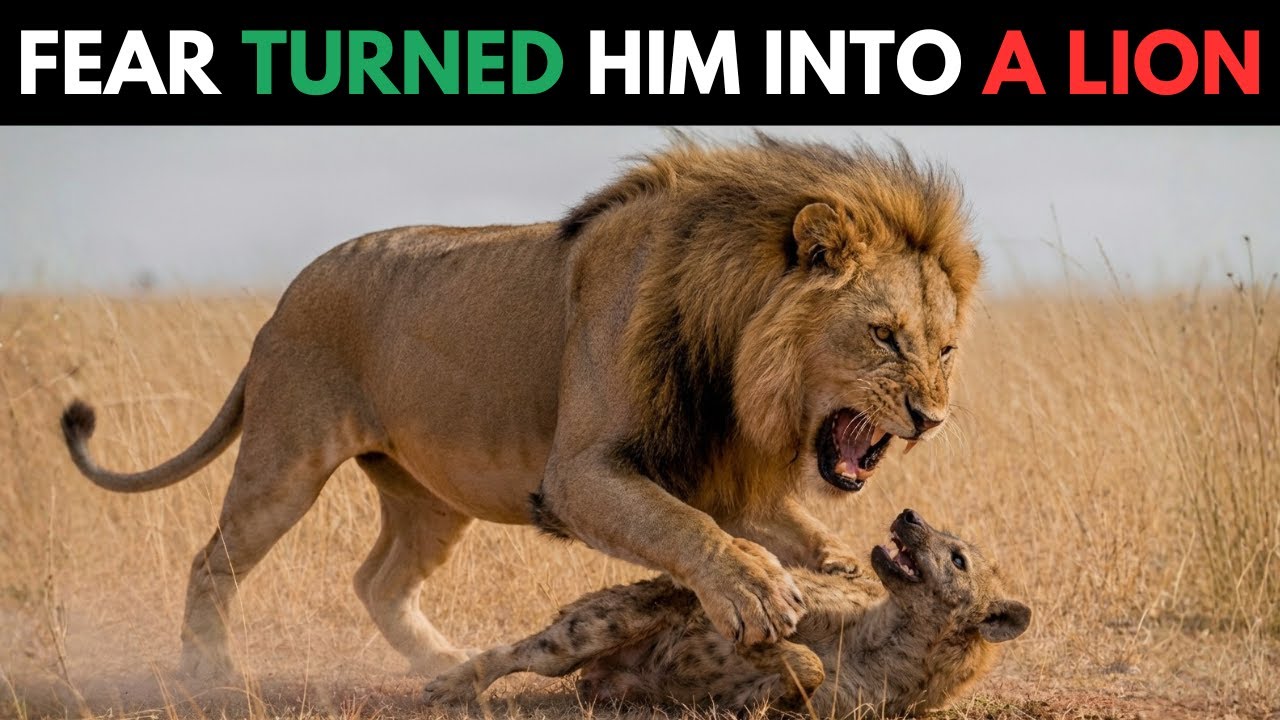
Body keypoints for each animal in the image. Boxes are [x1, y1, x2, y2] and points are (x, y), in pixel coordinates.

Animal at [59, 134, 981, 681]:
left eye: (945, 349)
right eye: (884, 336)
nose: (932, 419)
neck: (734, 357)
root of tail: (277, 308)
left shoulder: (711, 472)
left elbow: (788, 531)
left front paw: (841, 575)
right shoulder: (579, 474)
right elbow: (686, 530)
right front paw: (756, 596)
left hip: (429, 496)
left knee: (377, 580)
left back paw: (443, 664)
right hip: (284, 461)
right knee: (212, 561)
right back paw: (209, 674)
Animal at [423, 509, 1031, 717]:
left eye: (957, 558)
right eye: (941, 534)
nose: (908, 515)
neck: (884, 643)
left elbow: (801, 674)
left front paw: (755, 695)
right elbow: (794, 645)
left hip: (613, 681)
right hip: (601, 624)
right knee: (524, 650)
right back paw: (447, 684)